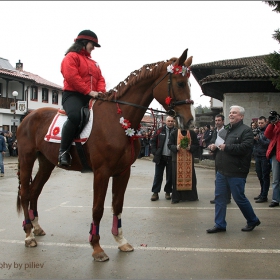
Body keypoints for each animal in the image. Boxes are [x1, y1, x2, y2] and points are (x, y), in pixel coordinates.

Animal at [16, 48, 194, 260]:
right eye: (180, 83)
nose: (189, 121)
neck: (119, 120)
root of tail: (28, 117)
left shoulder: (123, 172)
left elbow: (117, 205)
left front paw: (121, 241)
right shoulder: (102, 173)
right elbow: (98, 208)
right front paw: (97, 247)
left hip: (46, 163)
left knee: (34, 191)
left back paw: (36, 228)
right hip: (27, 159)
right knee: (25, 193)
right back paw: (28, 235)